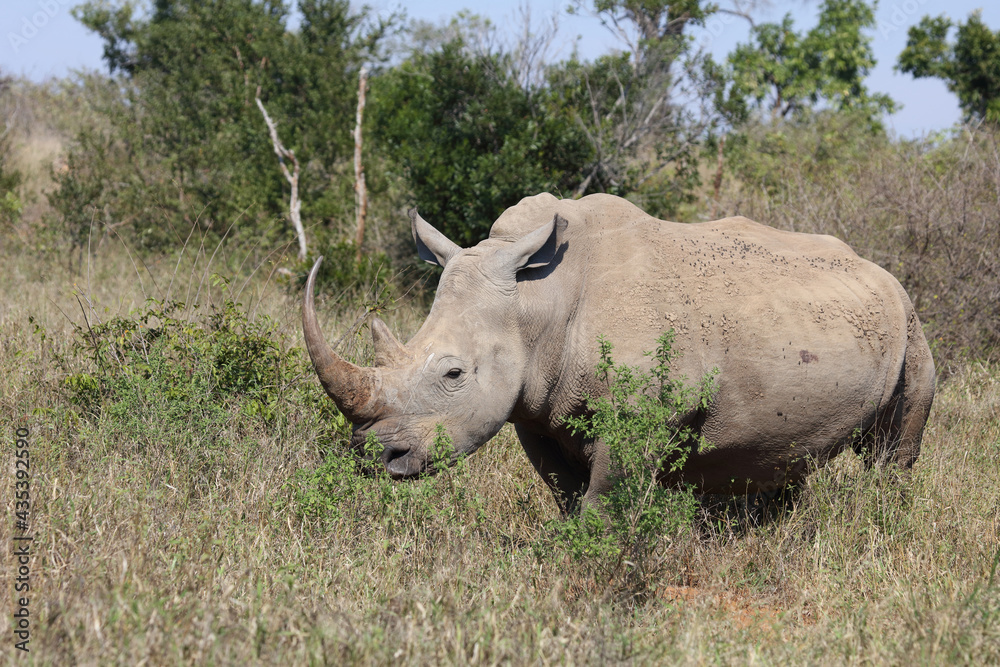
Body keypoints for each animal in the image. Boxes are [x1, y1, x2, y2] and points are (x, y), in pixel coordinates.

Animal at [302, 193, 935, 511]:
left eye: (454, 373)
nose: (373, 457)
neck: (536, 301)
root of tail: (882, 272)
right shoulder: (535, 409)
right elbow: (565, 494)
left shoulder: (642, 415)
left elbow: (603, 501)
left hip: (910, 324)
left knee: (892, 450)